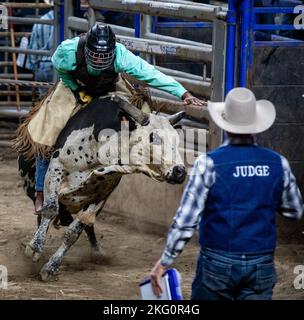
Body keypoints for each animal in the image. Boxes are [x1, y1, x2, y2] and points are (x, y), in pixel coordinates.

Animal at [20, 94, 186, 280]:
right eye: (154, 137)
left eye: (177, 139)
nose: (180, 171)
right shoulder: (56, 168)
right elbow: (50, 210)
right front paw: (35, 248)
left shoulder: (101, 194)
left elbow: (74, 231)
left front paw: (51, 267)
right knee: (42, 212)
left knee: (88, 226)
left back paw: (97, 253)